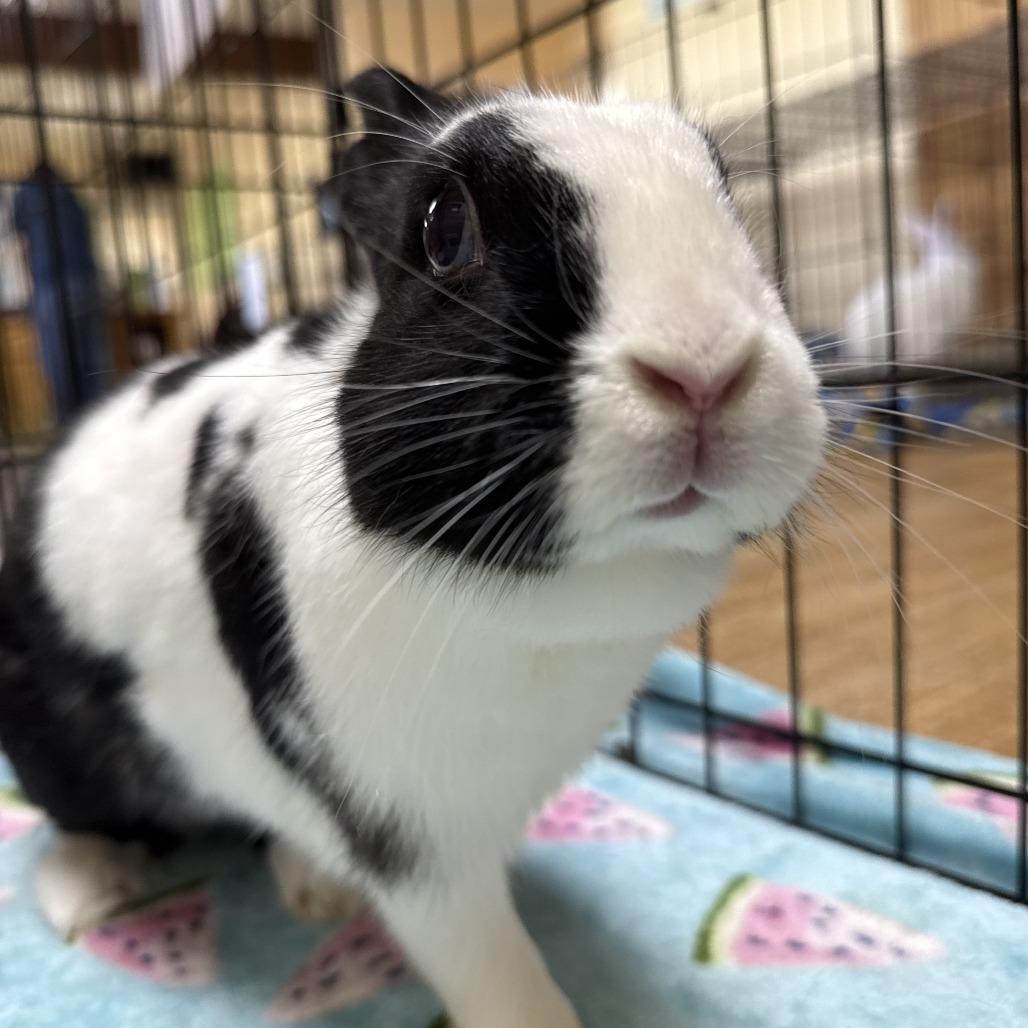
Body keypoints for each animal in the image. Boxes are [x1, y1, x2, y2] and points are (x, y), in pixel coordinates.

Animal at [0, 68, 826, 1028]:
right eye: (445, 229)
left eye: (728, 197)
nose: (705, 367)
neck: (546, 605)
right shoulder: (416, 845)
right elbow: (496, 972)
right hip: (53, 744)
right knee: (77, 823)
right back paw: (94, 894)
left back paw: (314, 890)